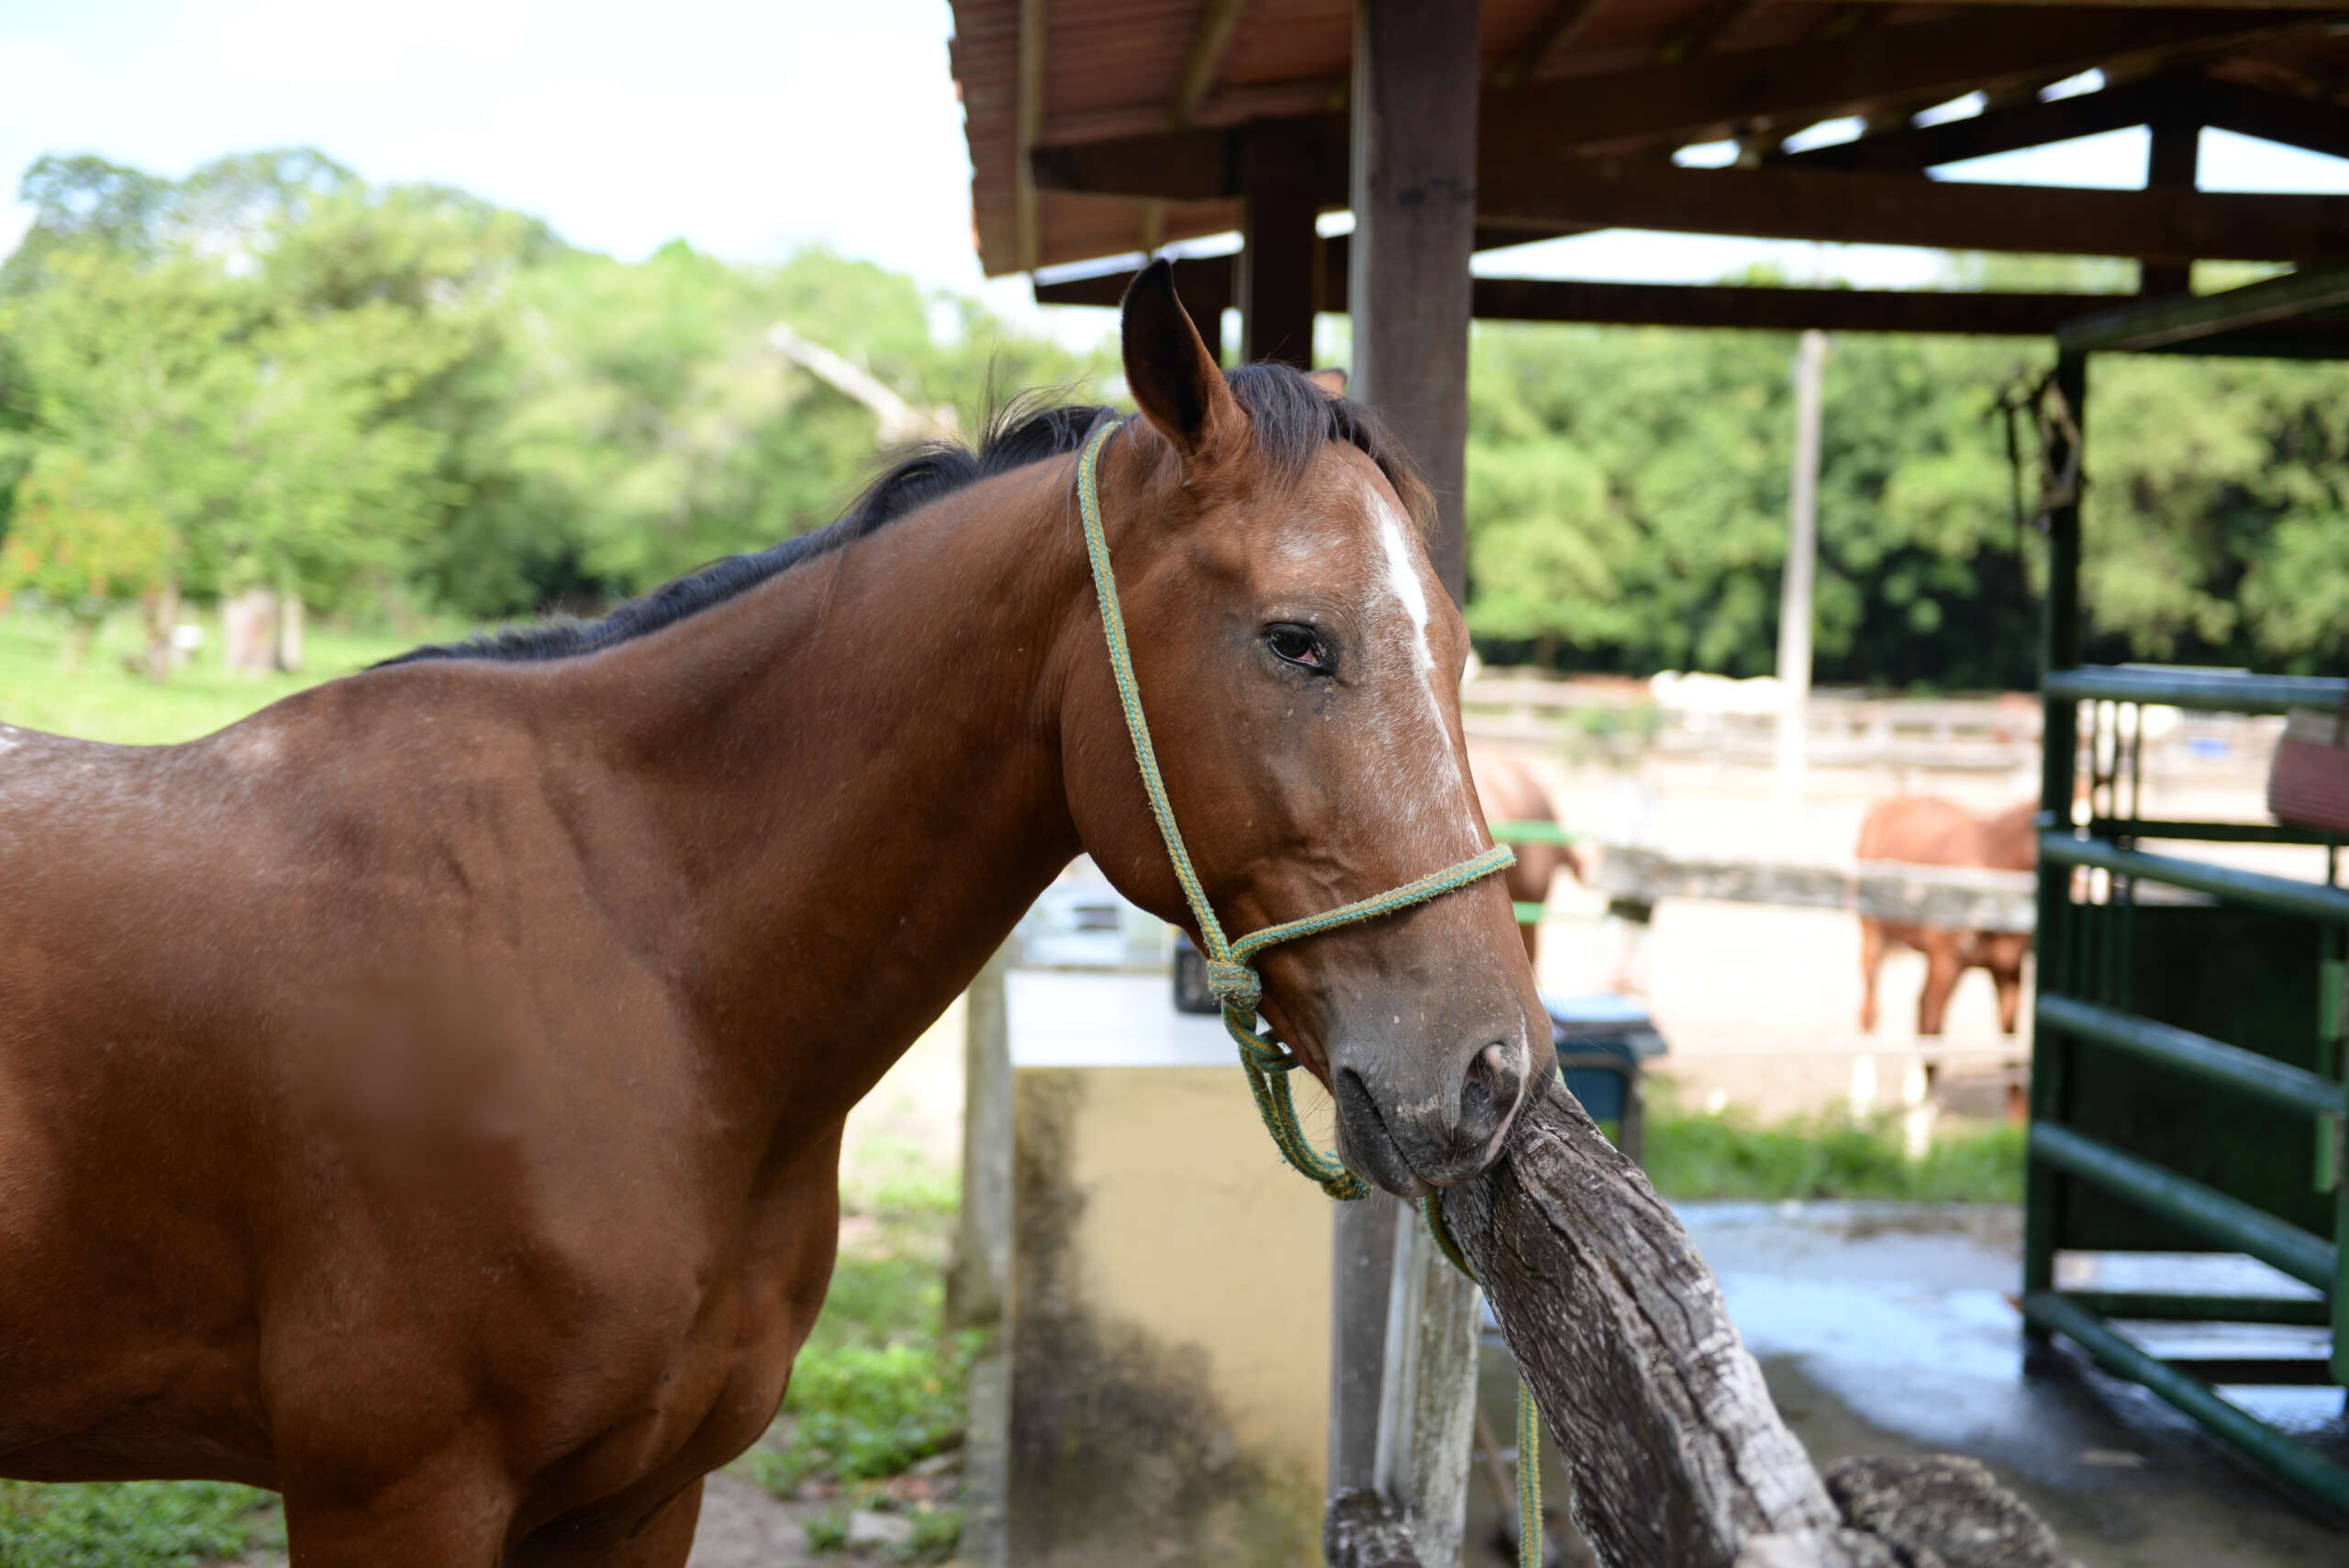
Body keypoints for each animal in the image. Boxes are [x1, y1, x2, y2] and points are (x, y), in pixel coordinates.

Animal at [0, 262, 1541, 1558]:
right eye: (1297, 640)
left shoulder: (641, 1493)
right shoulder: (397, 1497)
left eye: (1460, 650)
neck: (628, 952)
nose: (1489, 1071)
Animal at [1851, 797, 2039, 1041]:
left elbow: (2007, 1029)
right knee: (1871, 999)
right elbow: (1929, 1018)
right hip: (1873, 931)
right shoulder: (1945, 961)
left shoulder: (2007, 967)